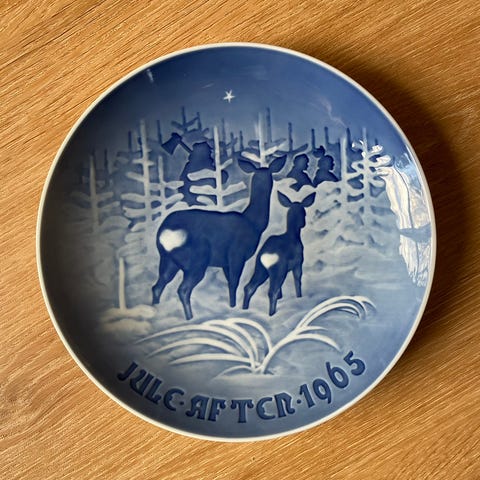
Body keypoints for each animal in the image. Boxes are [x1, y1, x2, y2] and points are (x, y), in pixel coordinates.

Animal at [152, 155, 286, 320]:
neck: (253, 224)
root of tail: (167, 233)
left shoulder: (224, 262)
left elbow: (230, 284)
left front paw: (231, 306)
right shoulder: (236, 254)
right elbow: (234, 282)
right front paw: (235, 309)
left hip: (167, 259)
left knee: (157, 286)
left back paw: (156, 311)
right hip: (197, 259)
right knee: (183, 290)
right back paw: (191, 318)